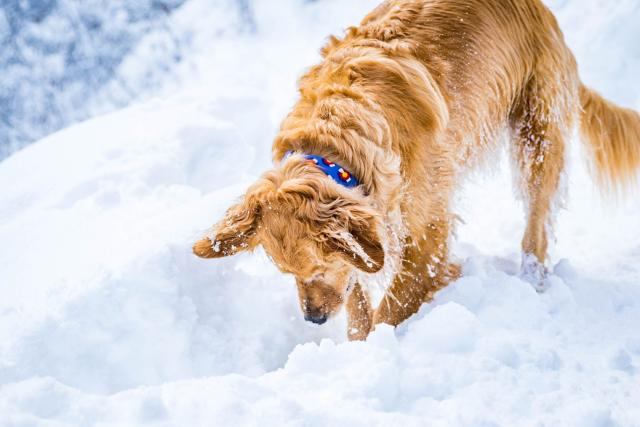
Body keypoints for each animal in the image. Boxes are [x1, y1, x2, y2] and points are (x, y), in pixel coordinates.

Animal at [192, 0, 640, 342]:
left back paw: (534, 279)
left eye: (315, 268)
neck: (336, 146)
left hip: (537, 134)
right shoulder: (370, 227)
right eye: (287, 272)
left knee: (538, 224)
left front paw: (372, 350)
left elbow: (392, 304)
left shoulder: (428, 233)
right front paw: (354, 340)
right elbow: (358, 292)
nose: (313, 319)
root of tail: (542, 10)